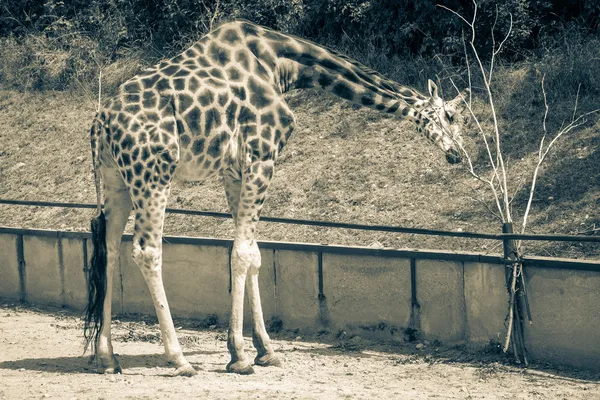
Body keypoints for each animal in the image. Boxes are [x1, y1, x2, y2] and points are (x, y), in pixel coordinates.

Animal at [82, 18, 472, 376]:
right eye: (451, 115)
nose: (458, 155)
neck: (281, 65)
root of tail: (101, 122)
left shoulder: (235, 170)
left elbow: (254, 254)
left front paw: (264, 350)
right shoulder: (262, 156)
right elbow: (242, 253)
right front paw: (239, 355)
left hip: (117, 181)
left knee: (110, 249)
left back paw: (107, 357)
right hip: (153, 175)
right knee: (147, 251)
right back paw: (178, 359)